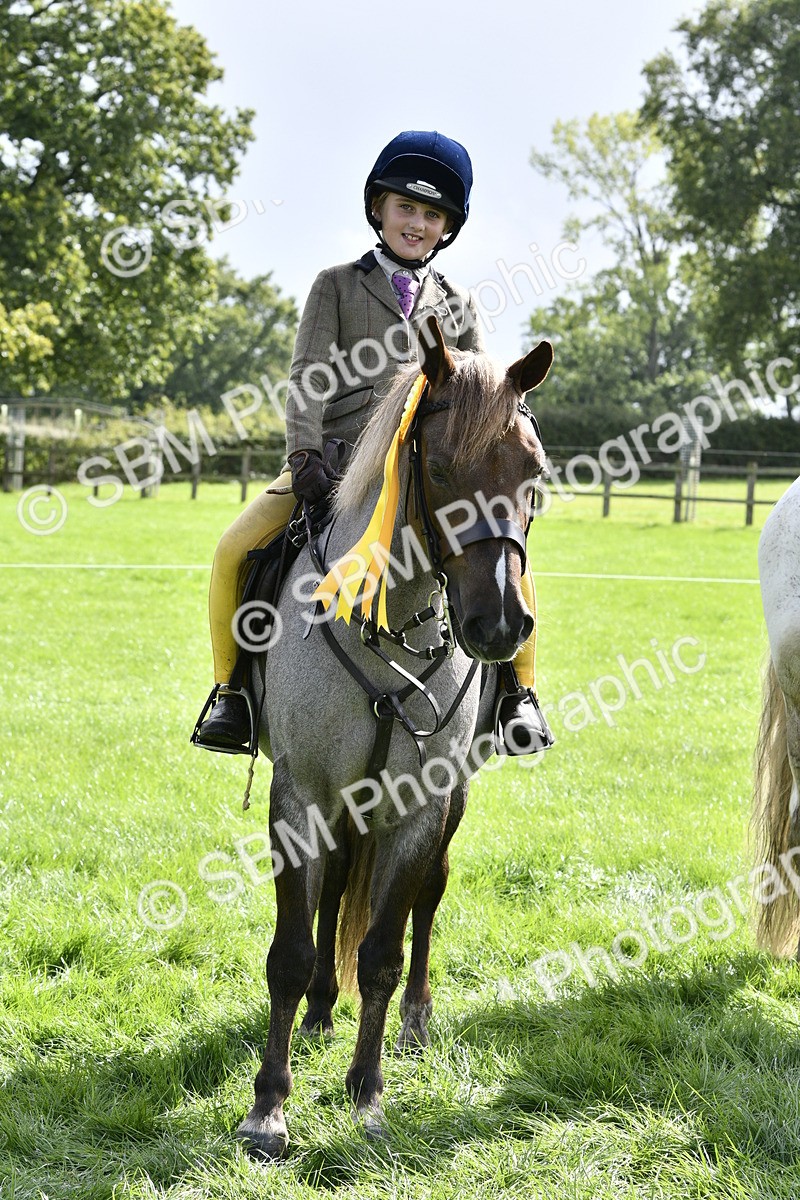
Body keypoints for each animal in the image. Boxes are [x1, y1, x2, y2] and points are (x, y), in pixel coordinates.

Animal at [235, 315, 553, 1160]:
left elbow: (381, 950)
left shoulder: (420, 805)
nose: (499, 625)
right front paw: (267, 1109)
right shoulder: (303, 793)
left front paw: (367, 1097)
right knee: (340, 881)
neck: (389, 620)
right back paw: (319, 1007)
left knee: (426, 898)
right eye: (438, 466)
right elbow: (290, 950)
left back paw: (414, 1019)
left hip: (448, 802)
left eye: (534, 473)